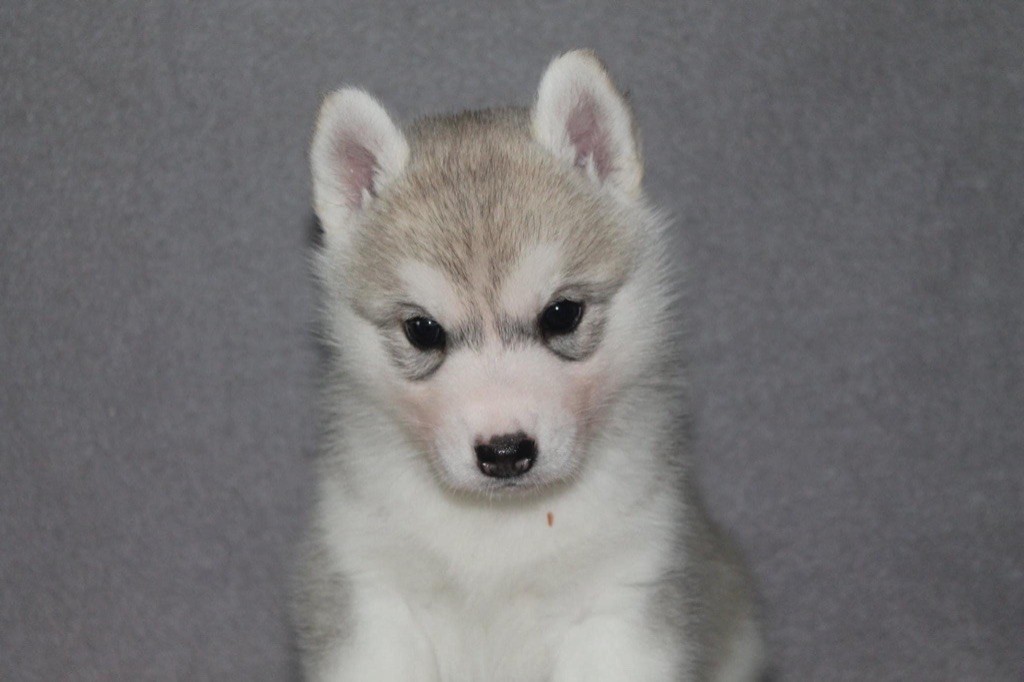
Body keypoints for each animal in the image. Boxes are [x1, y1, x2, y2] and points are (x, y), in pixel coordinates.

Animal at [292, 50, 765, 675]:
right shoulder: (370, 593)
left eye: (561, 314)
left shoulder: (622, 603)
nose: (505, 452)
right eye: (422, 330)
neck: (500, 534)